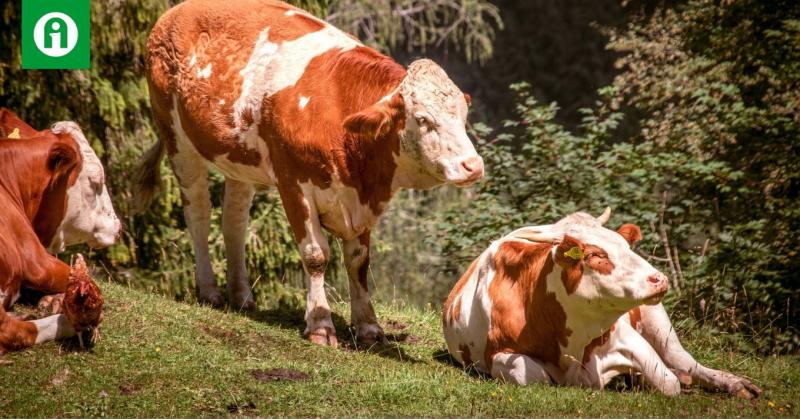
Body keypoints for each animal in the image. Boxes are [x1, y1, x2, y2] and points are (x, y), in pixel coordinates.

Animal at [134, 0, 484, 348]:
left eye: (463, 116)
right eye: (423, 120)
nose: (473, 165)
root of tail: (175, 12)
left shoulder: (360, 200)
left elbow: (358, 260)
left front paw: (368, 326)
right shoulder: (293, 183)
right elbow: (316, 255)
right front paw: (320, 325)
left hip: (239, 159)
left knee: (233, 220)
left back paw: (241, 295)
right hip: (177, 139)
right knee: (198, 213)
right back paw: (208, 291)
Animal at [444, 212, 764, 398]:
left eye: (627, 247)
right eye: (596, 255)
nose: (659, 278)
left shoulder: (626, 337)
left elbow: (668, 382)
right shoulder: (498, 354)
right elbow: (534, 376)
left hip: (658, 320)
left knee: (685, 362)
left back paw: (734, 384)